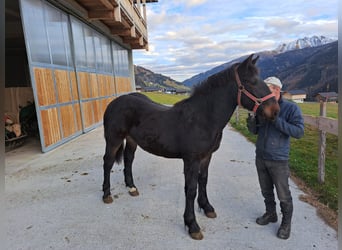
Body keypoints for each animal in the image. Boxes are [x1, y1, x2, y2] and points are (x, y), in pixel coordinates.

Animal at [101, 54, 278, 240]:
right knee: (108, 162)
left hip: (131, 140)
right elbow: (191, 189)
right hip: (113, 140)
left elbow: (203, 180)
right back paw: (107, 194)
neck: (203, 118)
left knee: (128, 160)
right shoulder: (191, 160)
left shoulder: (206, 157)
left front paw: (207, 207)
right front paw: (192, 225)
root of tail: (114, 103)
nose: (275, 110)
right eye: (251, 81)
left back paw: (132, 187)